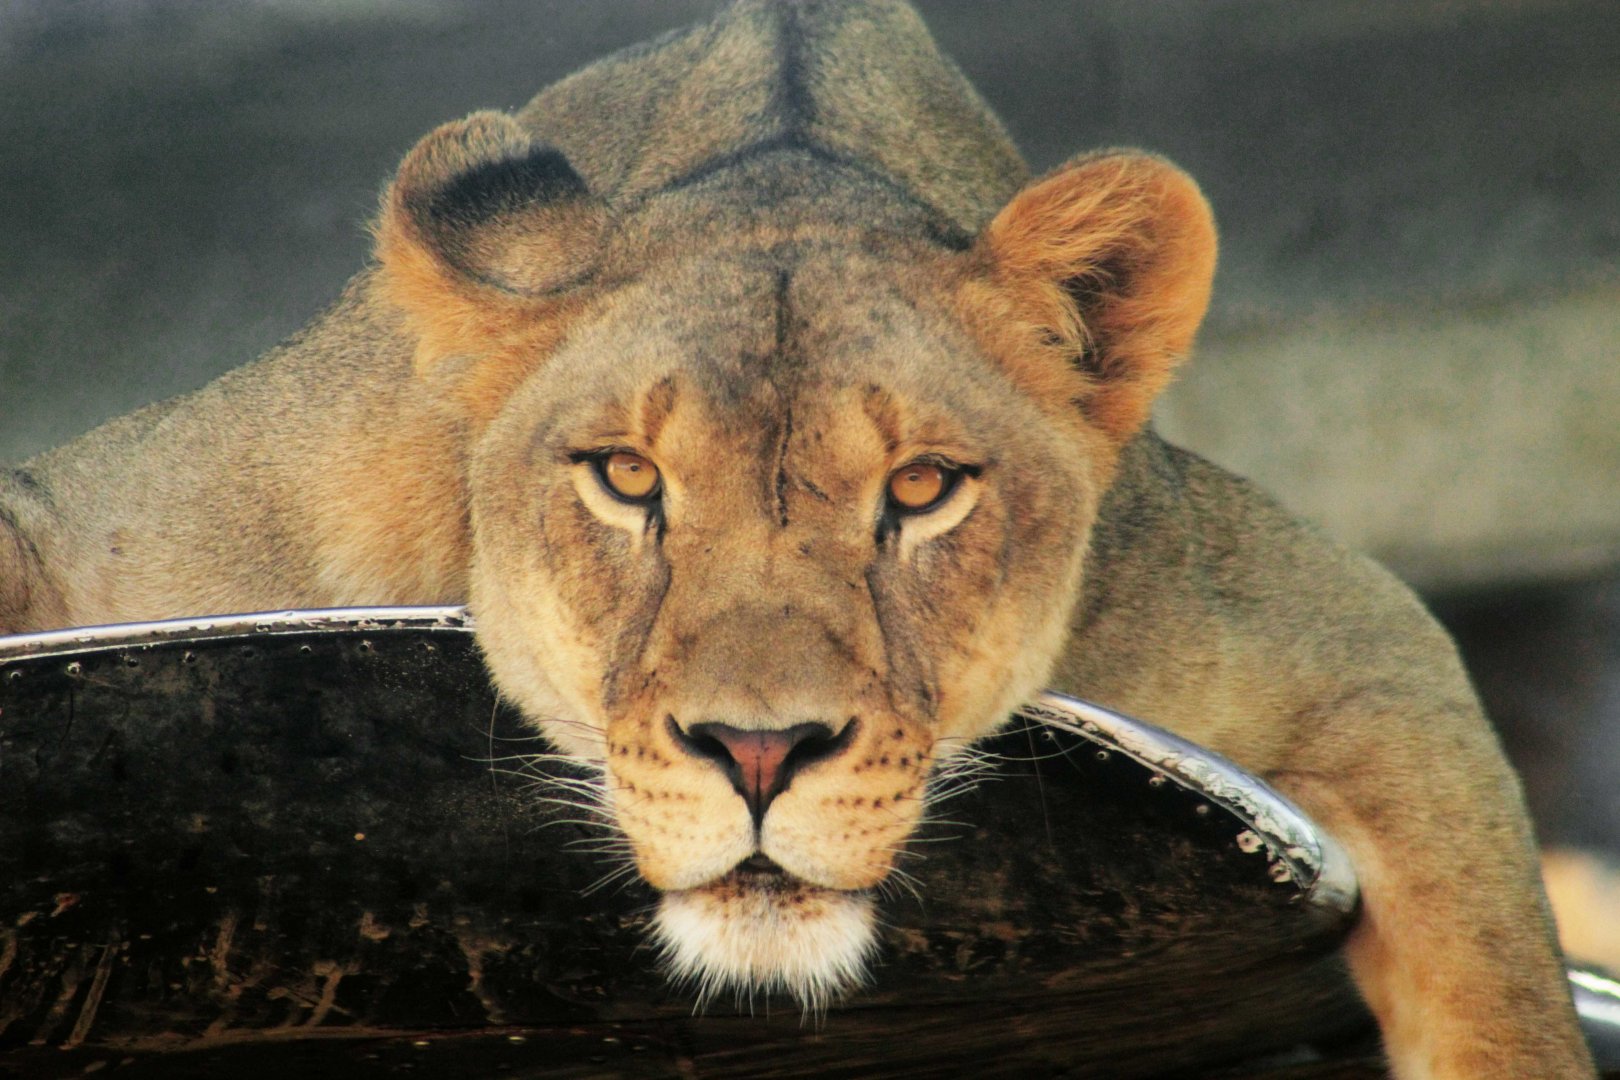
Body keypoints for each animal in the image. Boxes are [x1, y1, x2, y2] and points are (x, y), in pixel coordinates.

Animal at [0, 2, 1596, 1076]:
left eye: (924, 488)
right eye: (628, 478)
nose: (758, 753)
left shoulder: (1347, 628)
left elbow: (1501, 984)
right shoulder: (109, 521)